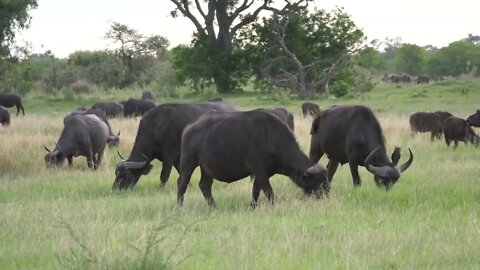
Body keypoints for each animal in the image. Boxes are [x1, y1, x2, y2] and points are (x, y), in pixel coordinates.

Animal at [177, 110, 330, 208]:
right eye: (319, 181)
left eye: (326, 179)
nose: (326, 194)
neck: (271, 139)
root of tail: (190, 126)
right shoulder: (259, 170)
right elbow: (268, 191)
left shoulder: (263, 173)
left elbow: (256, 190)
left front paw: (253, 206)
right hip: (188, 162)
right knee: (182, 183)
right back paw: (179, 206)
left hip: (206, 168)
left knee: (205, 185)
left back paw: (214, 206)